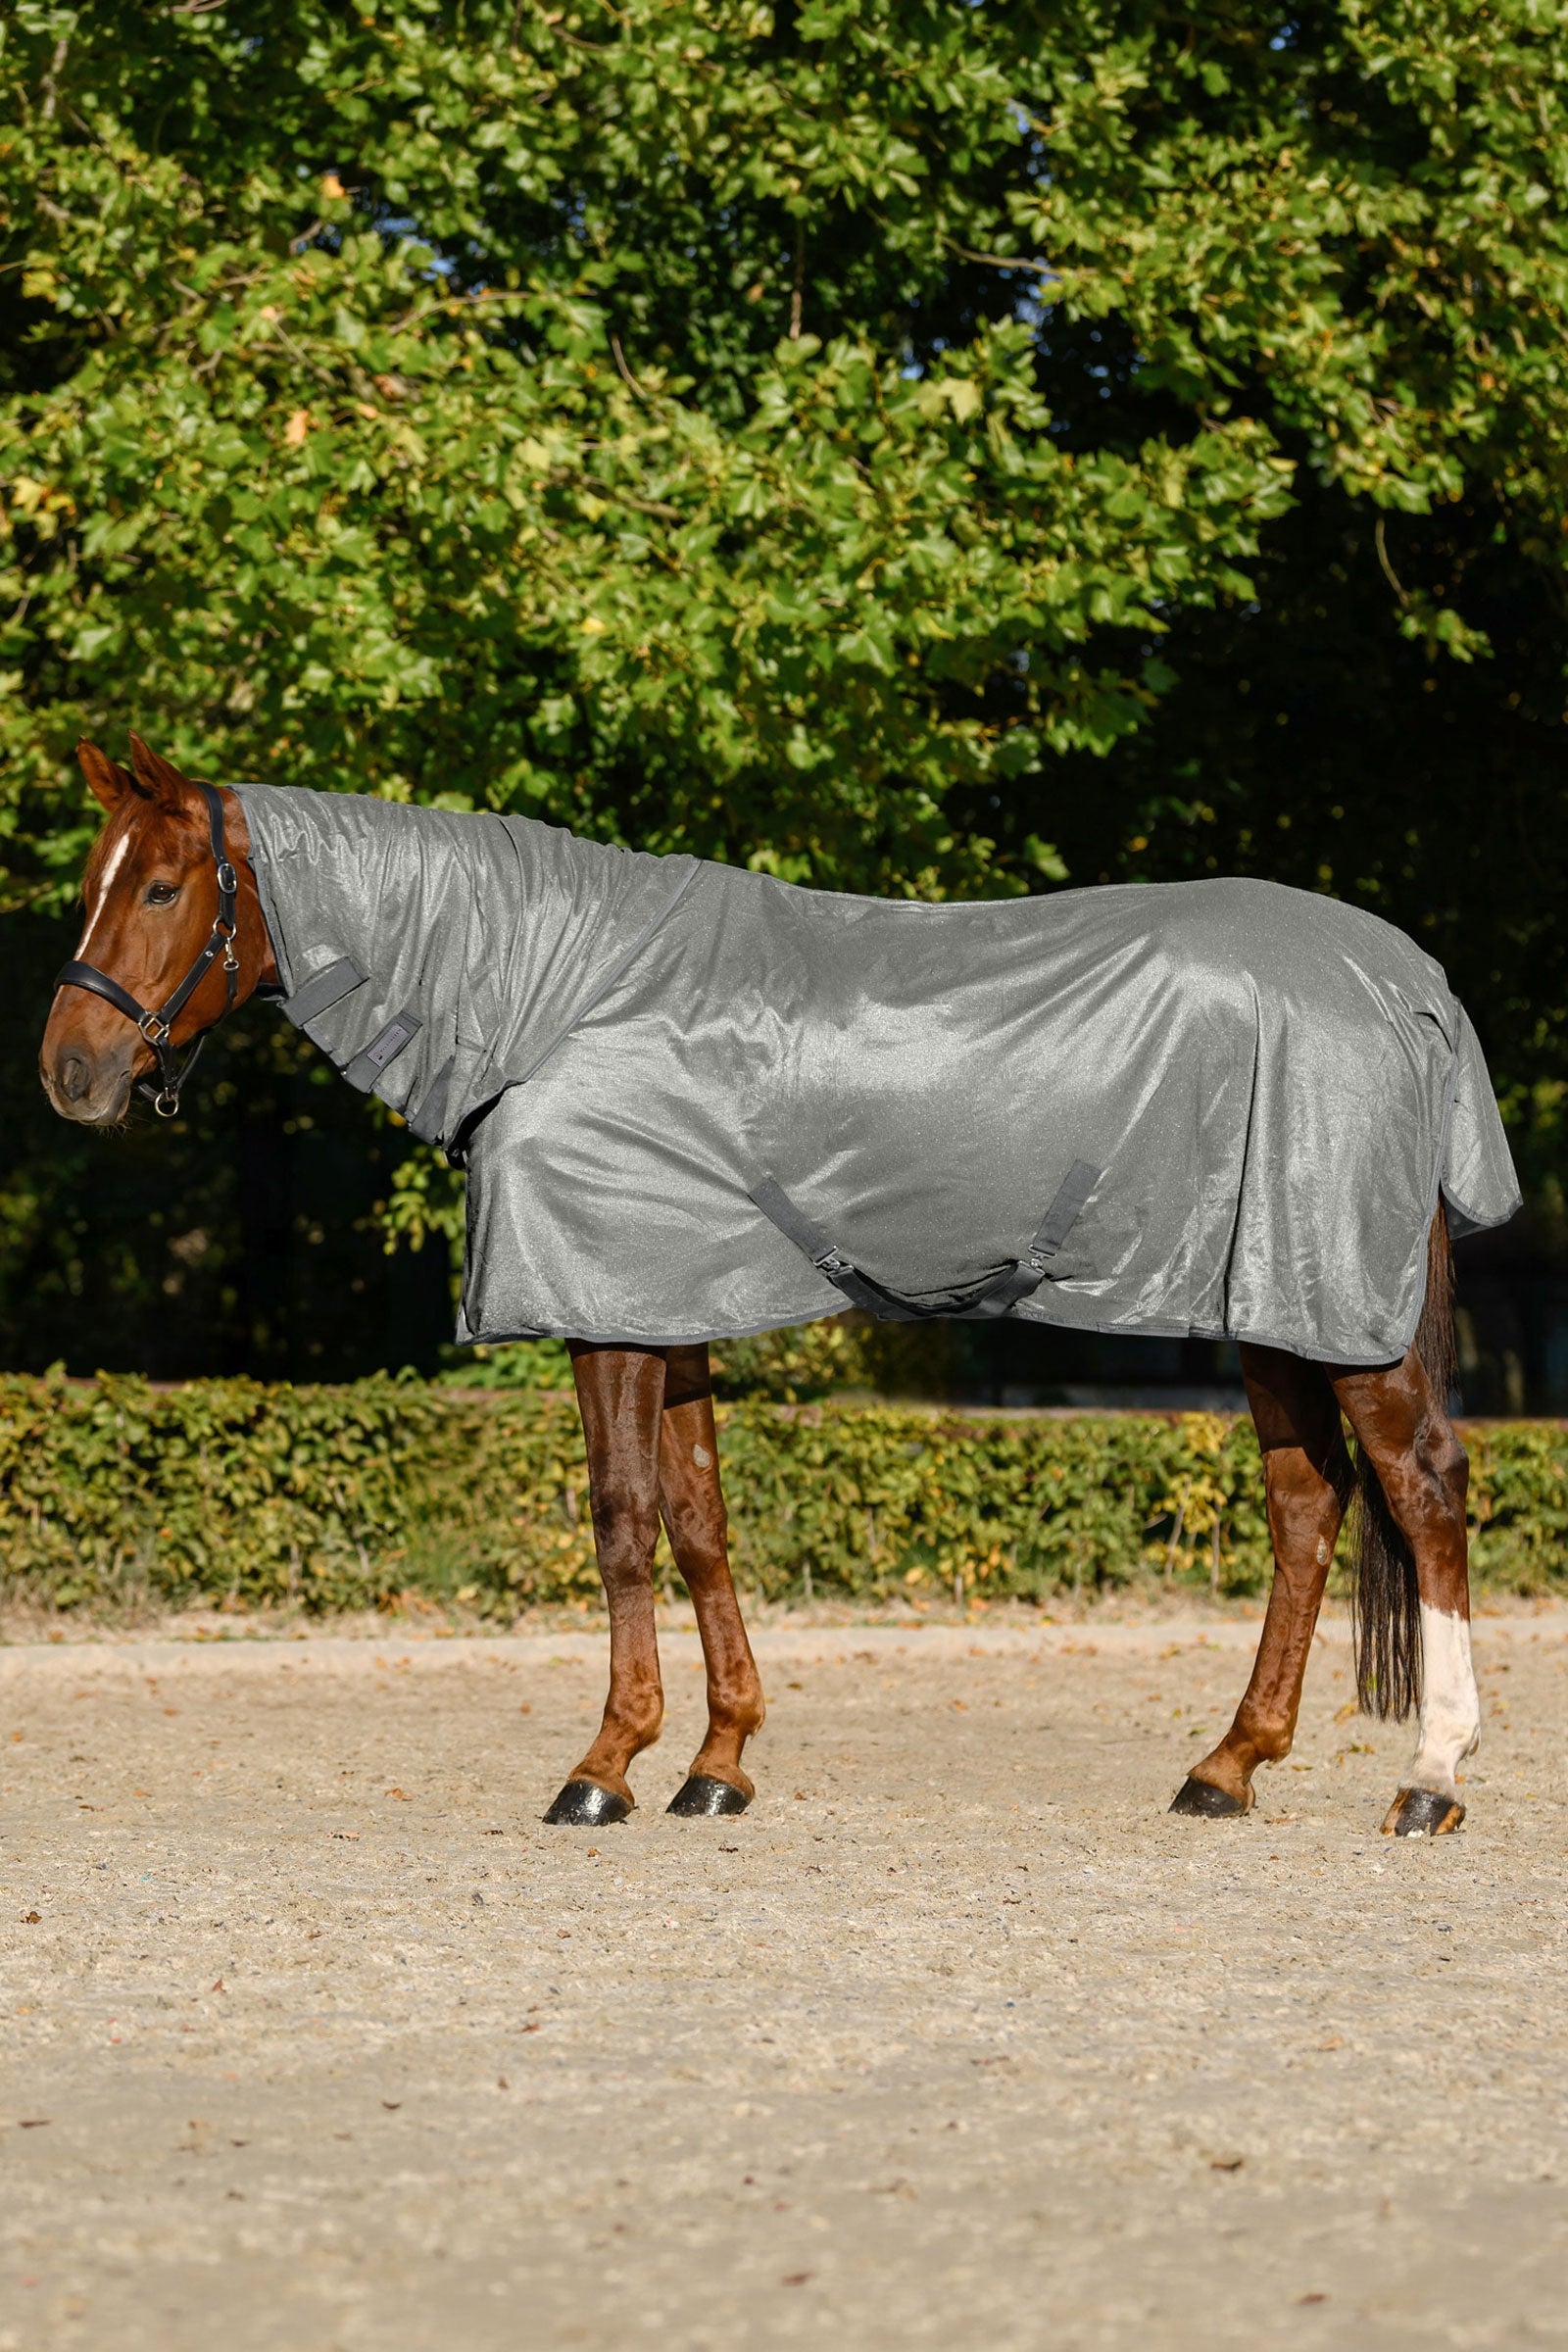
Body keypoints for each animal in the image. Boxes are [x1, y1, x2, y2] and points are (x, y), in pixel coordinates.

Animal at [40, 735, 1509, 1840]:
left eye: (160, 887)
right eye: (97, 880)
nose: (70, 1072)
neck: (557, 996)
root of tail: (1409, 984)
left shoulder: (607, 1306)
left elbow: (622, 1522)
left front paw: (604, 1767)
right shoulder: (667, 1305)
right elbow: (701, 1522)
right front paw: (718, 1762)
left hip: (1338, 1309)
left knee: (1423, 1491)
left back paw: (1429, 1779)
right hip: (1272, 1304)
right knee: (1309, 1507)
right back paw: (1226, 1767)